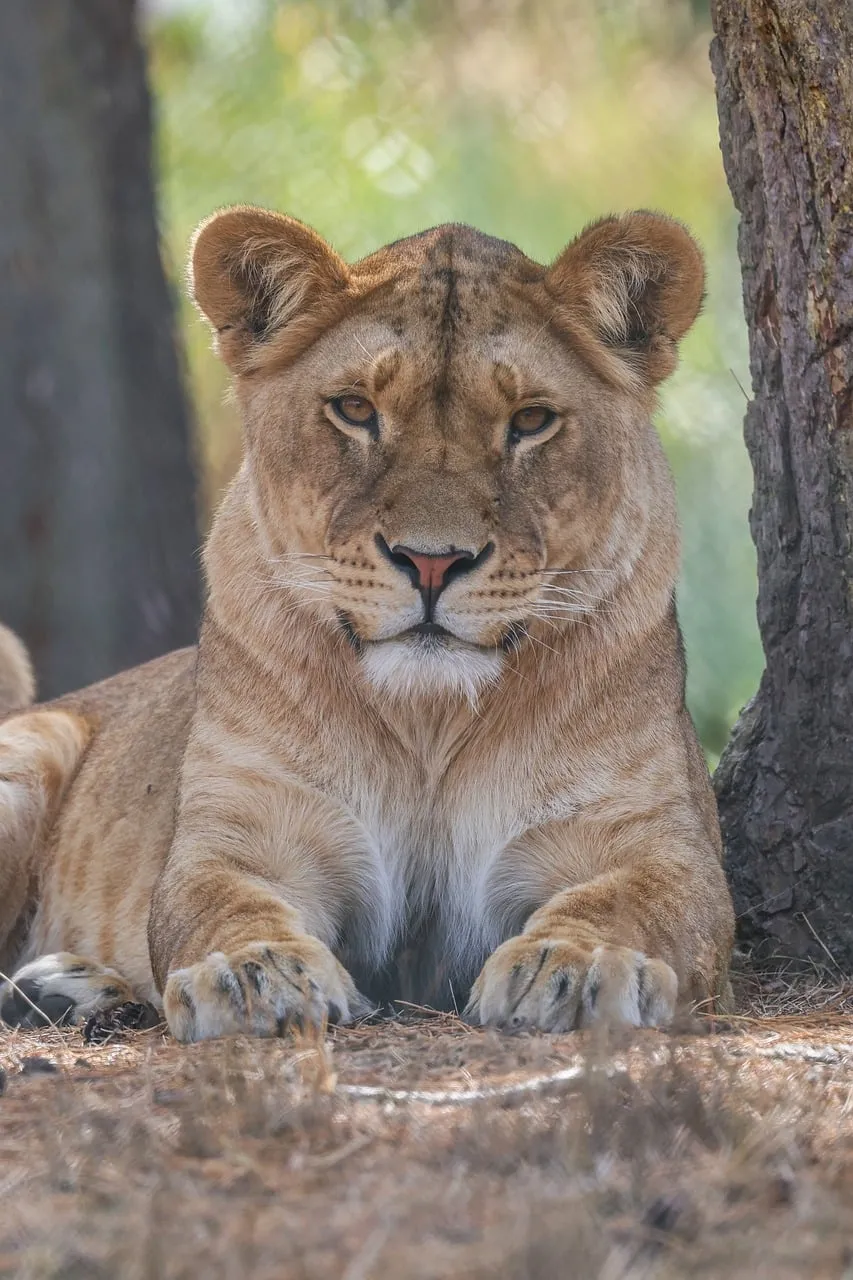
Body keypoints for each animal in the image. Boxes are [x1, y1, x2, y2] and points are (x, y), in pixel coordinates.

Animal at [0, 207, 734, 1041]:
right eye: (354, 409)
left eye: (530, 421)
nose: (431, 562)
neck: (428, 723)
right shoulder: (243, 832)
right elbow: (223, 904)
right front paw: (252, 975)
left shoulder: (655, 842)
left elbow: (630, 902)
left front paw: (577, 966)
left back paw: (66, 988)